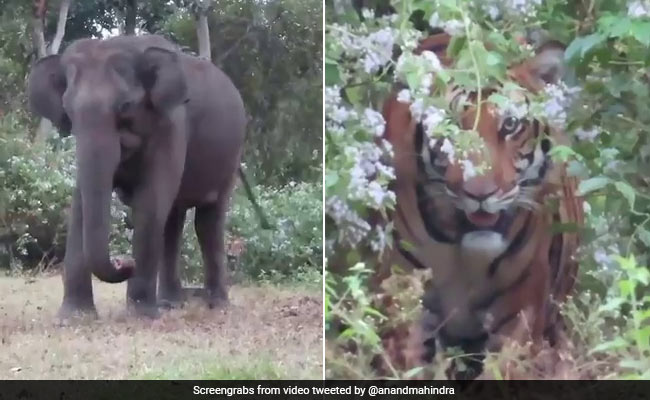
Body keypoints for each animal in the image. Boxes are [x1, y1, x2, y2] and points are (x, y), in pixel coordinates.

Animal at [27, 34, 262, 318]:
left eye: (125, 105)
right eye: (67, 110)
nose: (124, 262)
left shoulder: (171, 125)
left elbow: (150, 200)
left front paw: (140, 315)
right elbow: (81, 205)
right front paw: (74, 317)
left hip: (231, 154)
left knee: (207, 221)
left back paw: (216, 305)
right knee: (173, 221)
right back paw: (171, 302)